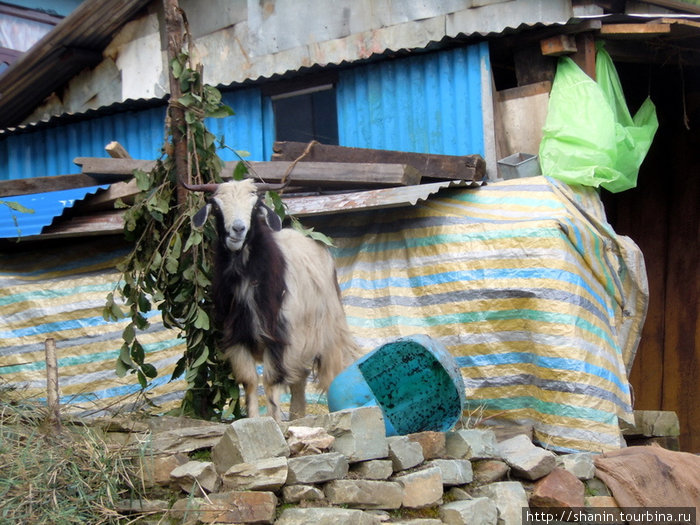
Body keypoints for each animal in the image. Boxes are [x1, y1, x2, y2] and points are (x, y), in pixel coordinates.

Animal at [185, 178, 360, 420]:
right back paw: (297, 416)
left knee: (329, 371)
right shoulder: (237, 337)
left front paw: (274, 420)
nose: (237, 229)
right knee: (299, 379)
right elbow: (250, 381)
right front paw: (253, 421)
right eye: (217, 207)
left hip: (326, 334)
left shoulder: (279, 338)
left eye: (255, 205)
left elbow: (271, 382)